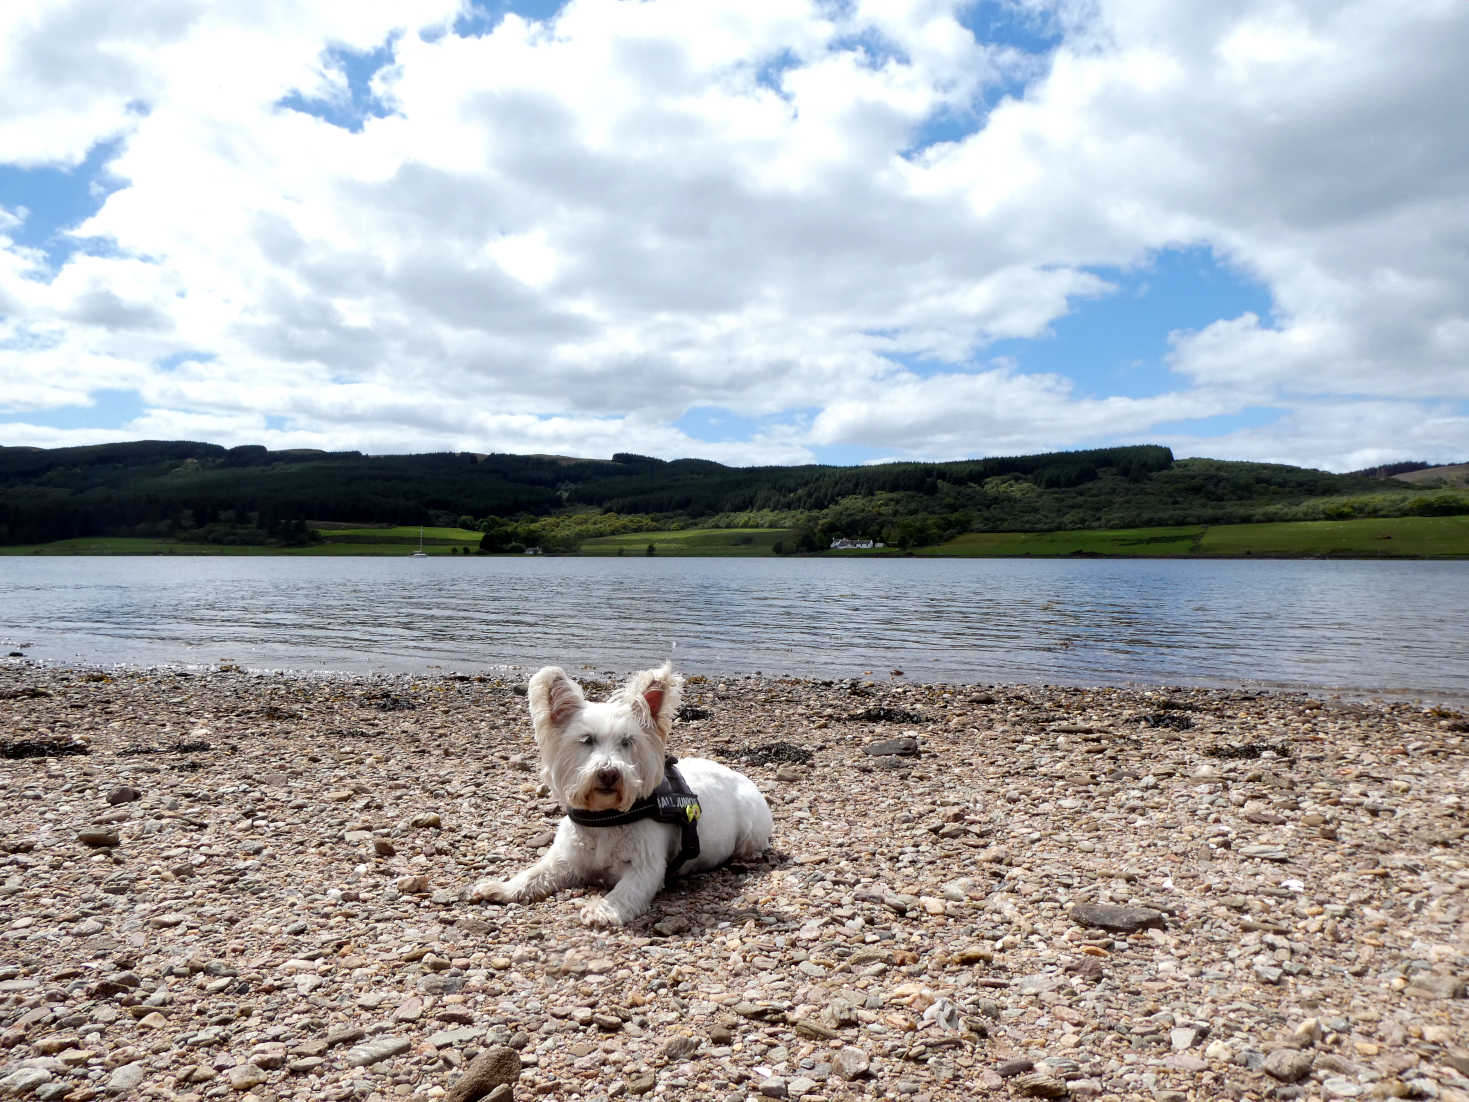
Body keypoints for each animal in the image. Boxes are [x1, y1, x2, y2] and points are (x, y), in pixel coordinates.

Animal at [473, 664, 775, 934]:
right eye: (587, 740)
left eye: (628, 741)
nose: (609, 773)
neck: (605, 817)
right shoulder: (565, 859)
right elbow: (534, 874)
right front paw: (500, 887)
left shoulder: (647, 868)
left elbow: (626, 891)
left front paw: (602, 909)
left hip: (750, 830)